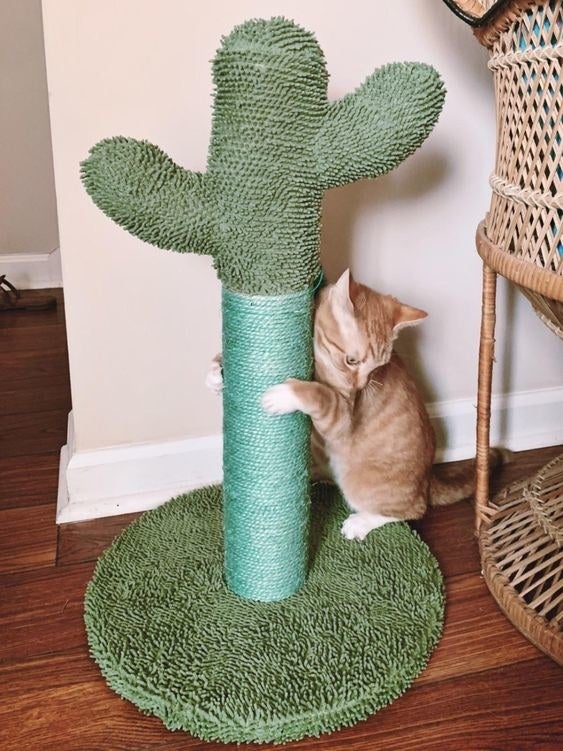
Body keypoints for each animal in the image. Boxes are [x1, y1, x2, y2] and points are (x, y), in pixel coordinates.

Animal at [208, 270, 506, 540]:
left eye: (378, 367)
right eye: (352, 361)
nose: (360, 386)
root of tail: (426, 481)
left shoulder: (340, 417)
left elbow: (318, 394)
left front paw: (285, 395)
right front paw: (217, 373)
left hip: (363, 484)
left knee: (413, 510)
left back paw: (360, 523)